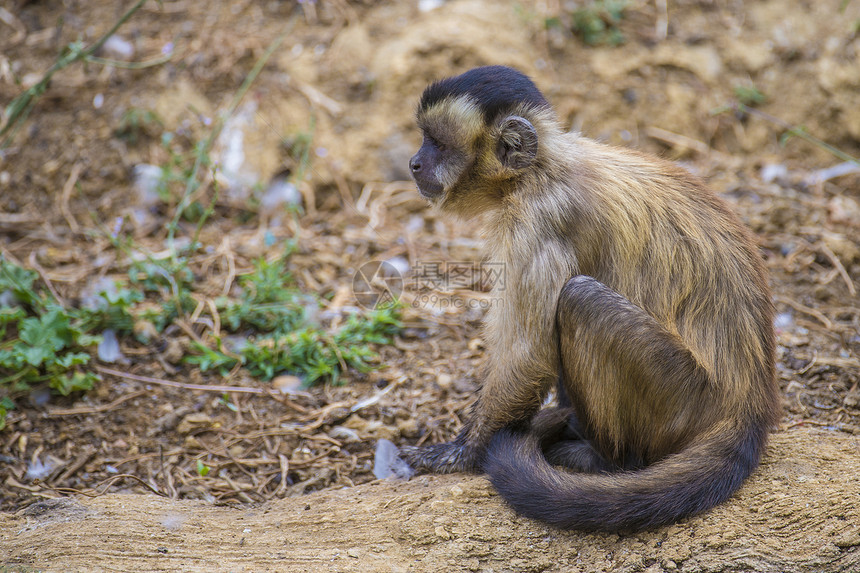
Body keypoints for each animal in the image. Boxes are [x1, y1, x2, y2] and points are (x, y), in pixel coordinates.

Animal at [396, 66, 780, 532]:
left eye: (438, 143)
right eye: (425, 139)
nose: (414, 162)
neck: (540, 169)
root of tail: (751, 406)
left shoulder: (538, 218)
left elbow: (528, 354)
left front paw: (461, 453)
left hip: (686, 402)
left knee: (579, 299)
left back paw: (605, 460)